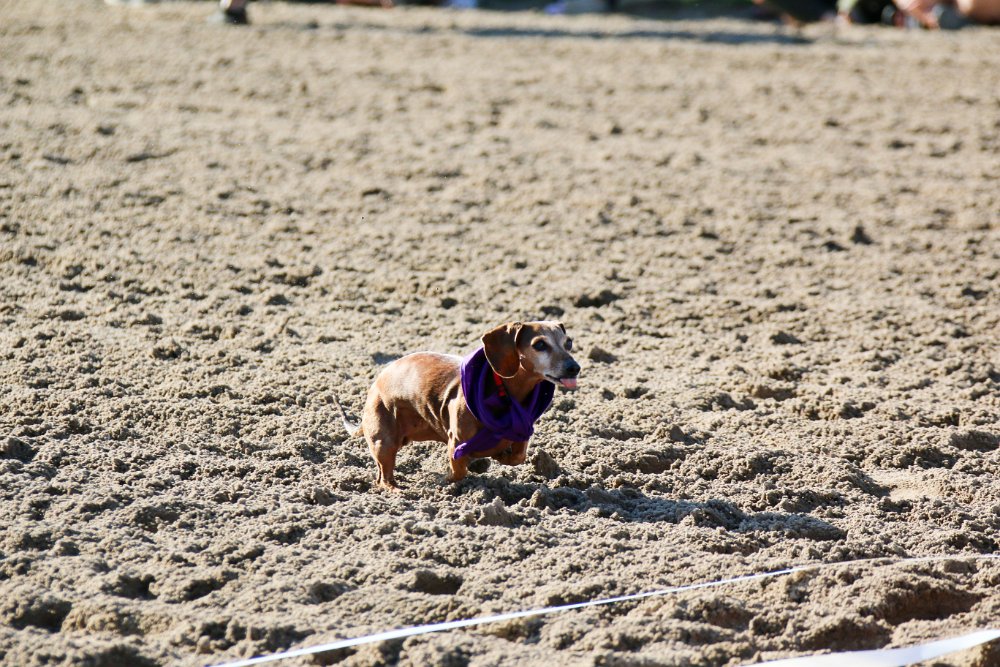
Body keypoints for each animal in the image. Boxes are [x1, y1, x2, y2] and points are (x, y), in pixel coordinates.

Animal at [335, 321, 580, 490]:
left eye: (568, 342)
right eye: (539, 344)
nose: (574, 367)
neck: (505, 394)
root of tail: (376, 383)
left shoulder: (522, 433)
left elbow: (517, 457)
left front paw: (499, 456)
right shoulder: (457, 441)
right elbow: (458, 472)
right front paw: (444, 480)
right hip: (383, 442)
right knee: (384, 479)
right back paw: (398, 490)